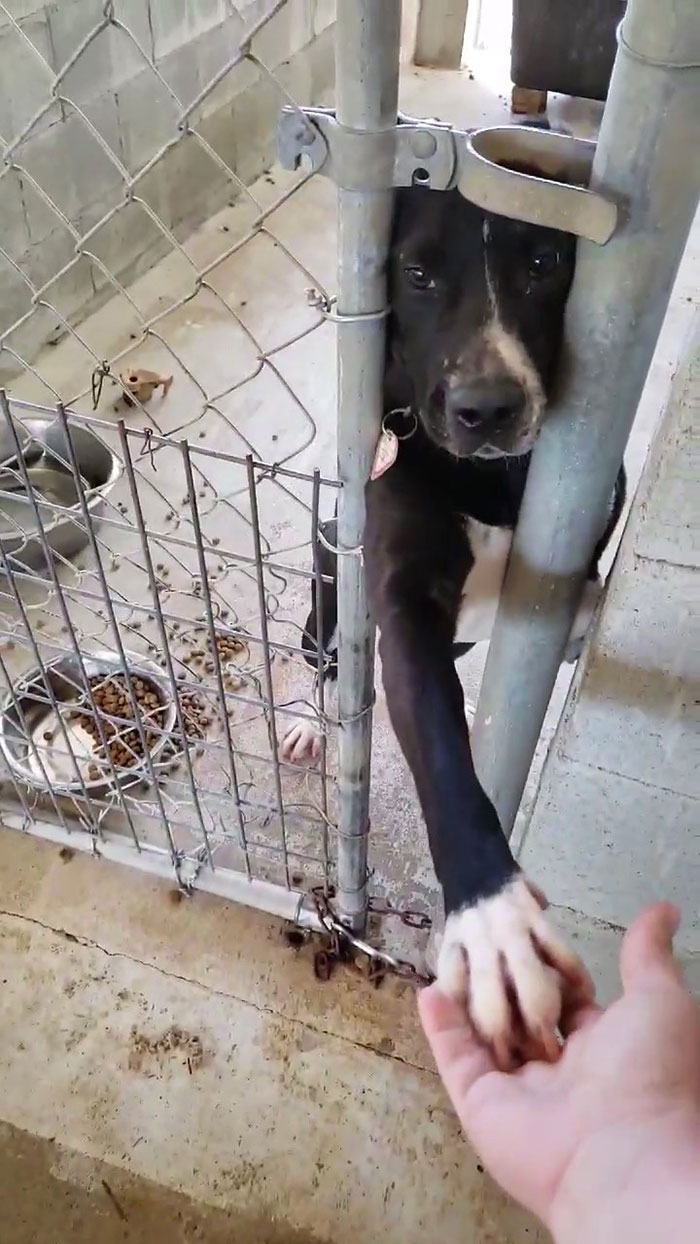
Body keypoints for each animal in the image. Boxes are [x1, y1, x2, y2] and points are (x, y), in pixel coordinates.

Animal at [279, 160, 624, 1064]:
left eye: (544, 263)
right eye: (417, 273)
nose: (487, 408)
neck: (489, 478)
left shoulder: (584, 549)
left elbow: (586, 601)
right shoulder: (403, 607)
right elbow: (440, 748)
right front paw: (494, 917)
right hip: (330, 603)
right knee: (319, 660)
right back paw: (304, 720)